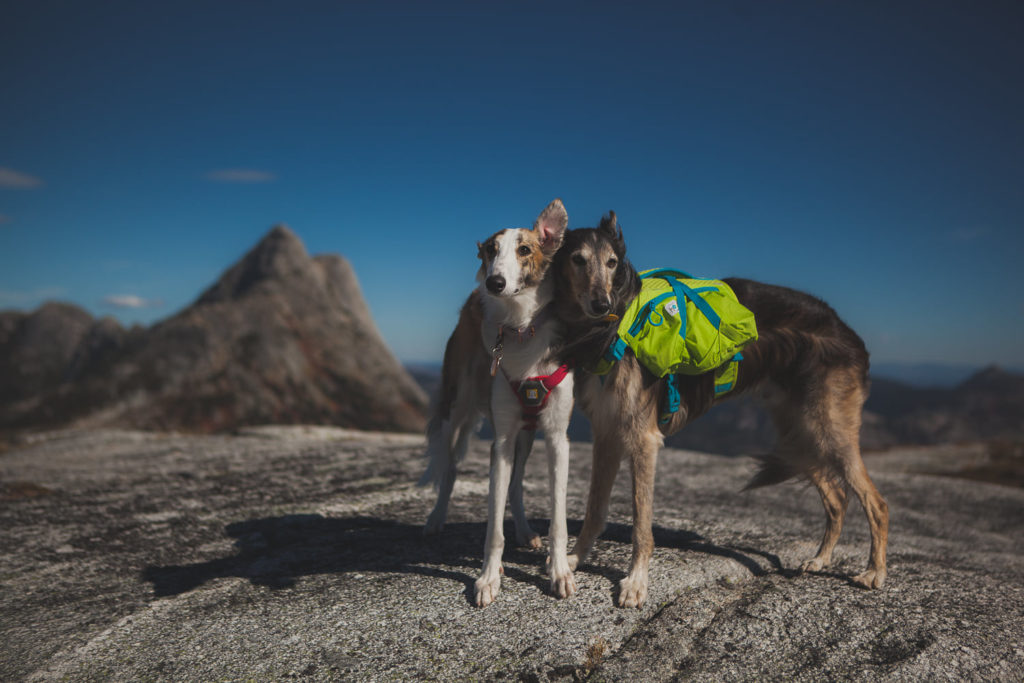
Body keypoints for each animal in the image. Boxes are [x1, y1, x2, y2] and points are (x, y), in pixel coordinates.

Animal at [417, 198, 577, 610]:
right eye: (491, 250)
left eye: (524, 250)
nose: (494, 283)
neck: (520, 330)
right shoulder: (501, 439)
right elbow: (492, 526)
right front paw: (488, 577)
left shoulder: (556, 437)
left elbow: (558, 518)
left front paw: (559, 571)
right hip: (456, 408)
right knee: (450, 469)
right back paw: (436, 519)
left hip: (527, 433)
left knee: (517, 484)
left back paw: (523, 530)